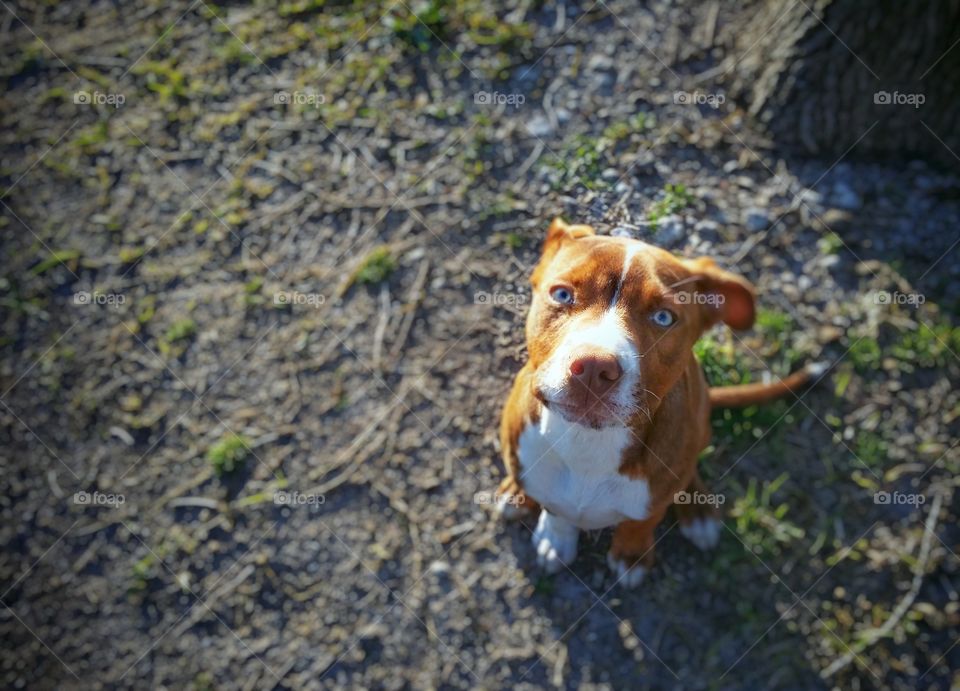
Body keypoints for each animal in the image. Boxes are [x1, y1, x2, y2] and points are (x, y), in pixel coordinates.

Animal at [496, 219, 824, 588]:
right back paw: (516, 492)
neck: (588, 443)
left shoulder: (655, 498)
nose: (594, 367)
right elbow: (556, 508)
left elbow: (641, 522)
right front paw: (556, 538)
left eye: (664, 317)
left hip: (700, 425)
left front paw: (631, 554)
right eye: (562, 294)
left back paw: (699, 512)